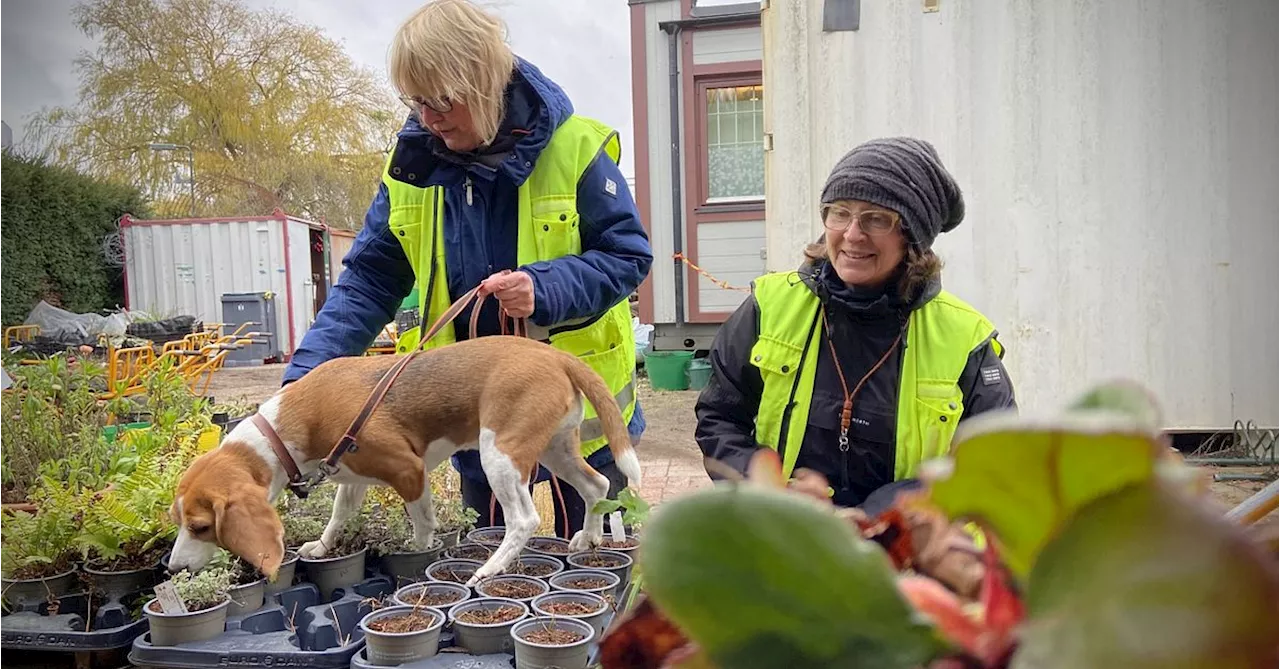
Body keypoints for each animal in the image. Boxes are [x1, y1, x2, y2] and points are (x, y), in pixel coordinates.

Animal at [167, 335, 640, 585]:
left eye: (201, 527)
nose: (172, 569)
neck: (286, 427)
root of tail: (554, 354)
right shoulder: (351, 475)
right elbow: (339, 515)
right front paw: (323, 546)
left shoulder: (408, 470)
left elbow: (422, 525)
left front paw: (417, 552)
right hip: (554, 449)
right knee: (598, 486)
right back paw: (588, 538)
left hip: (501, 455)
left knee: (523, 520)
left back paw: (489, 569)